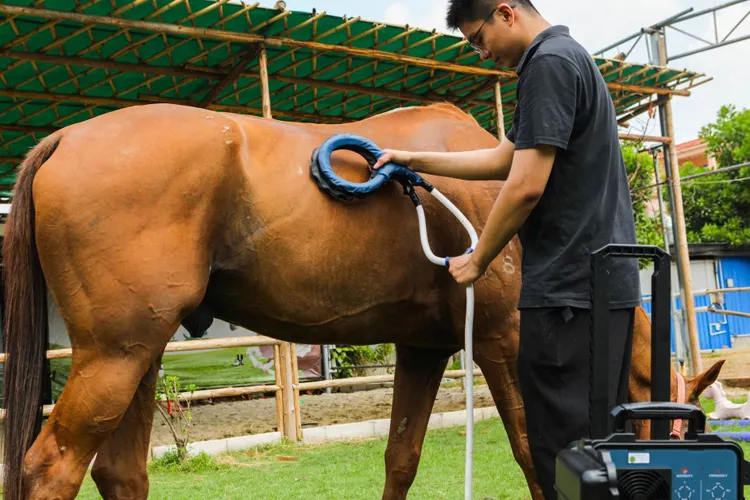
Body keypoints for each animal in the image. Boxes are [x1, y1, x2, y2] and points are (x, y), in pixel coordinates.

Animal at [1, 99, 724, 498]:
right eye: (676, 431)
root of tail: (66, 137)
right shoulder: (503, 341)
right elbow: (532, 454)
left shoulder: (424, 350)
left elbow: (401, 457)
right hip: (115, 356)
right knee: (51, 468)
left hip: (140, 355)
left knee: (121, 473)